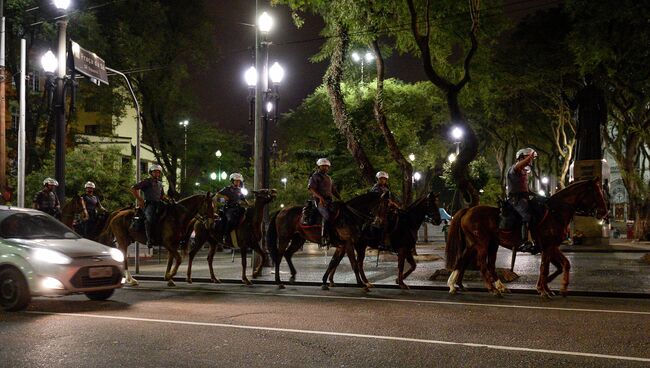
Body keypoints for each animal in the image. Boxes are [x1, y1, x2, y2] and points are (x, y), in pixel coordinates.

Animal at [442, 180, 604, 298]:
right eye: (596, 192)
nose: (604, 212)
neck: (555, 213)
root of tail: (468, 210)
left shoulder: (552, 247)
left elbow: (563, 265)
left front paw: (555, 288)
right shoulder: (547, 246)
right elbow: (545, 268)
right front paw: (543, 289)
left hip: (483, 243)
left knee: (468, 261)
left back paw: (457, 285)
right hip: (482, 243)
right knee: (482, 264)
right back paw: (492, 289)